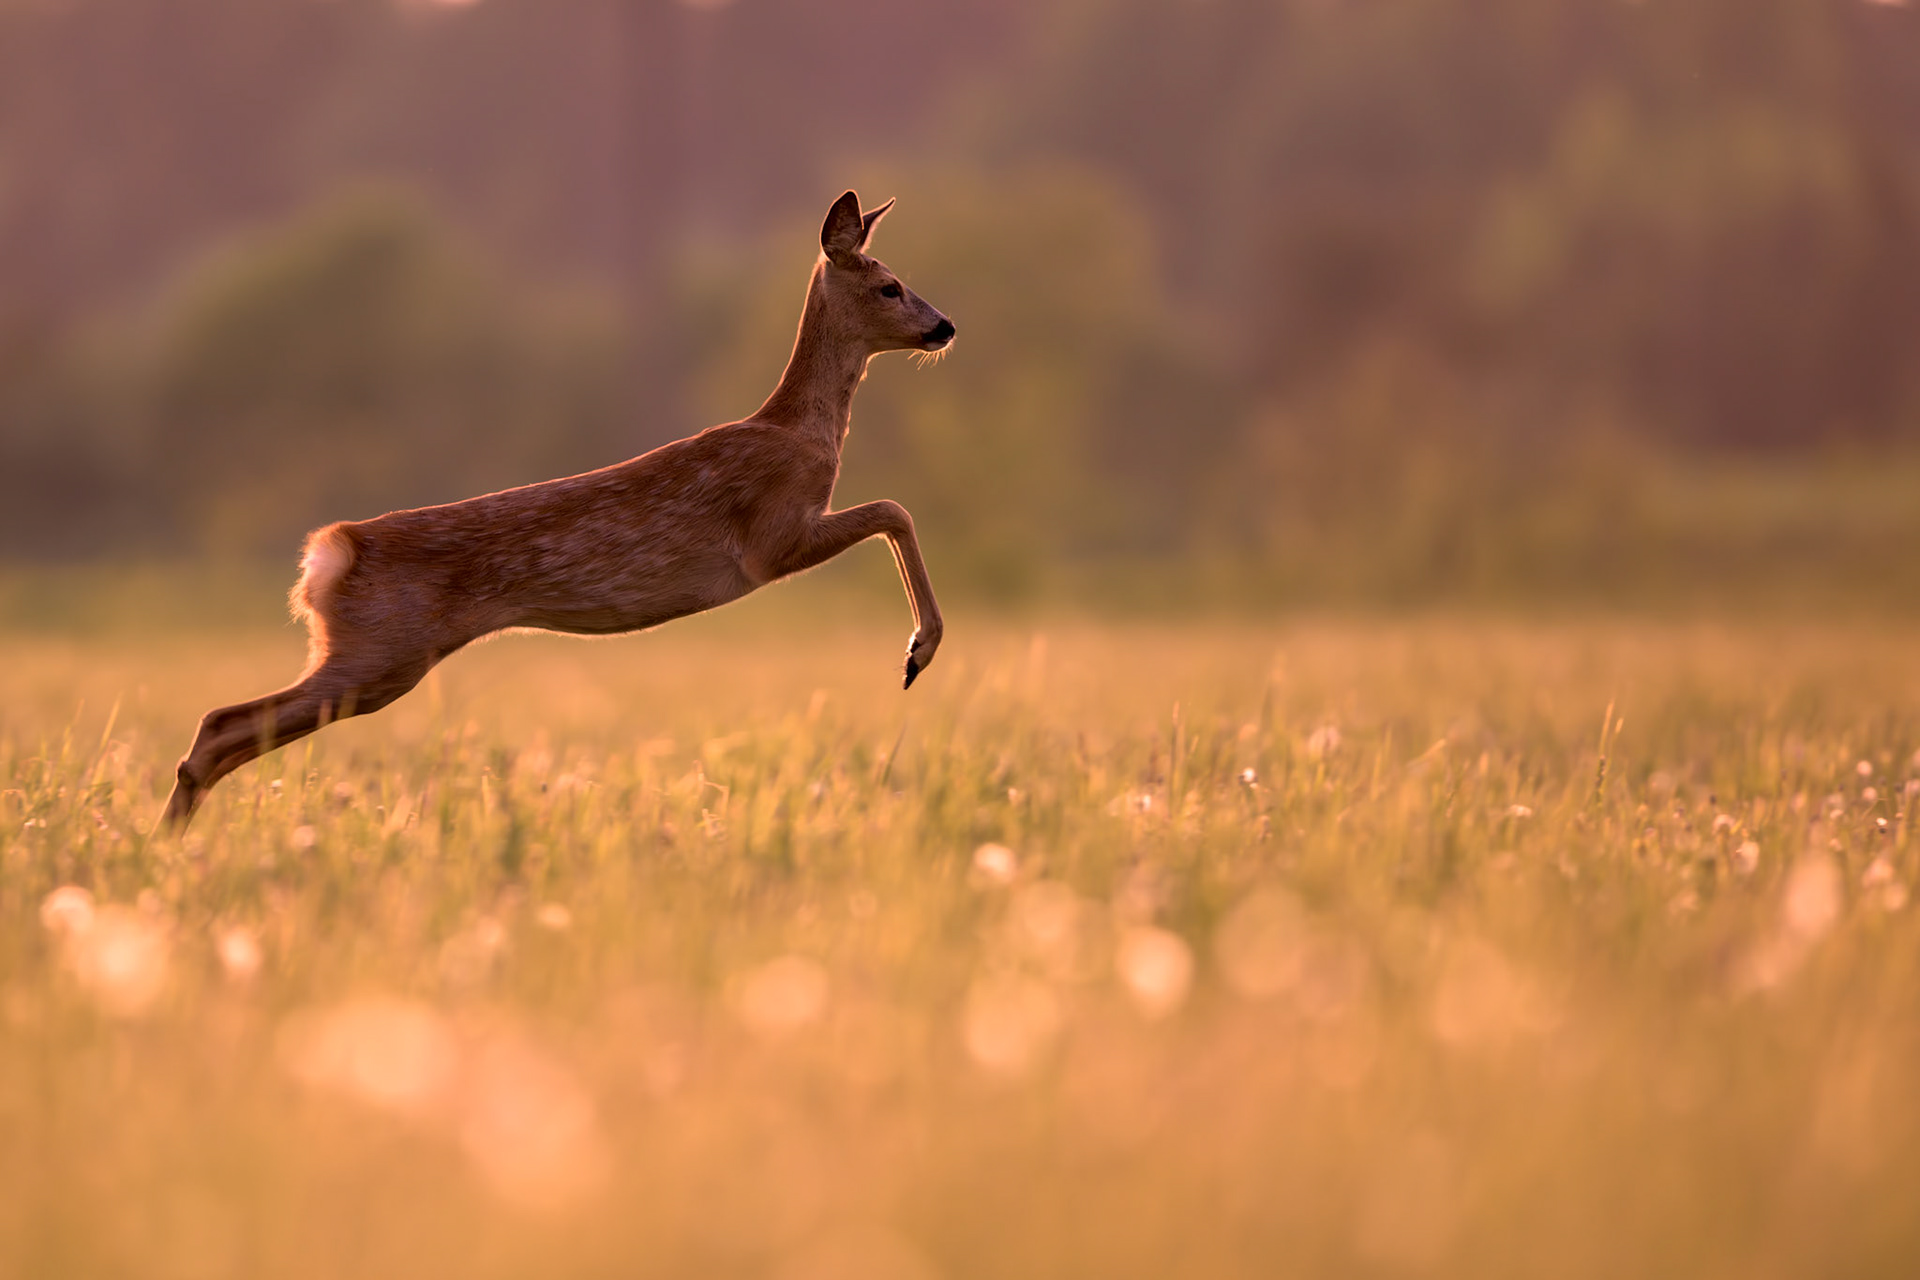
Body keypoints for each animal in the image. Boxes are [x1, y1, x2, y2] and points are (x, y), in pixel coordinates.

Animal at [161, 191, 953, 831]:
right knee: (220, 724)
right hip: (380, 652)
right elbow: (894, 508)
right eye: (890, 287)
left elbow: (894, 511)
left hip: (367, 654)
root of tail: (330, 553)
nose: (944, 326)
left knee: (224, 732)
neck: (802, 433)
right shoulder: (771, 537)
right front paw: (917, 653)